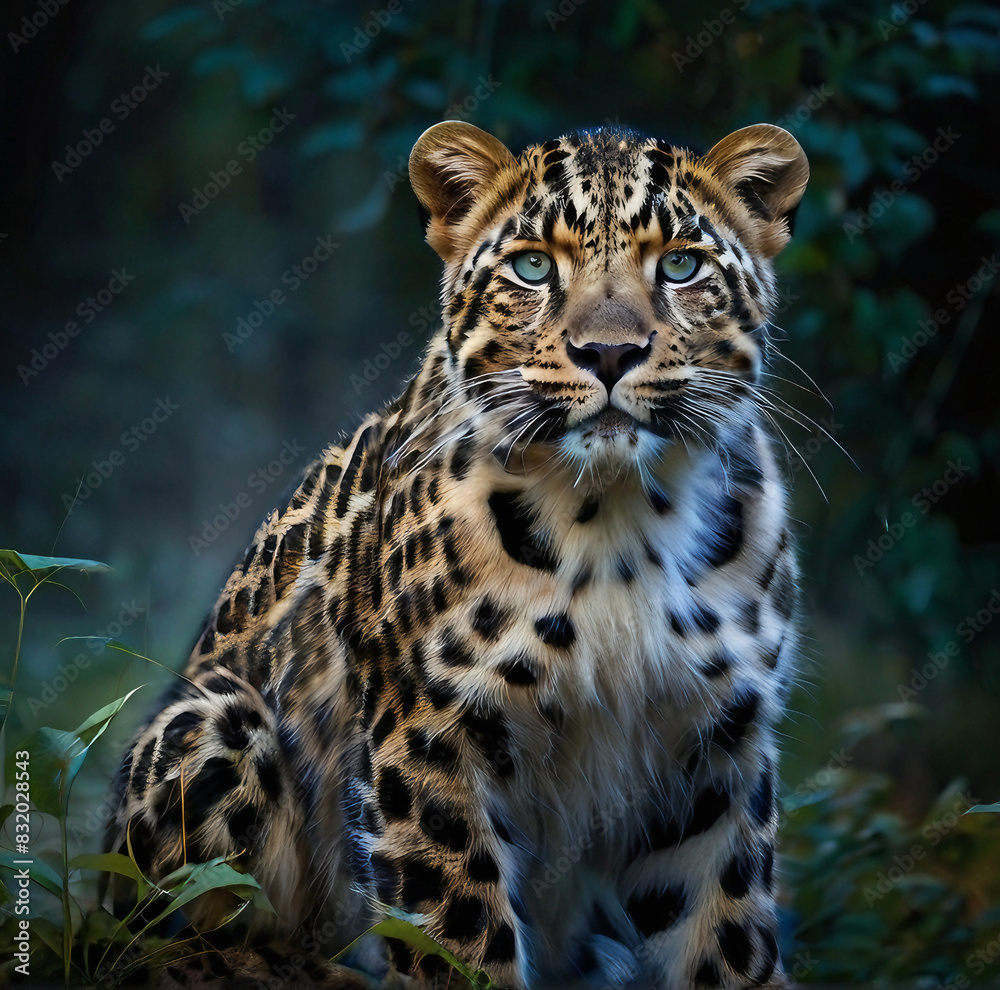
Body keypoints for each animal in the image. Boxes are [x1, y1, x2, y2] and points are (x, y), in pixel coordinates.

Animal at [106, 119, 809, 989]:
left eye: (680, 265)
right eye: (533, 266)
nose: (609, 354)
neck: (618, 519)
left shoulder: (716, 751)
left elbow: (725, 934)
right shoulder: (429, 737)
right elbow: (461, 939)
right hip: (213, 723)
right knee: (170, 940)